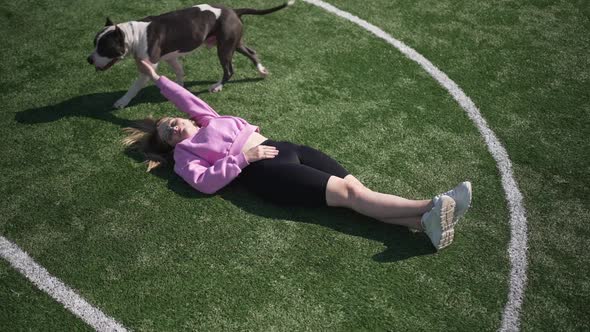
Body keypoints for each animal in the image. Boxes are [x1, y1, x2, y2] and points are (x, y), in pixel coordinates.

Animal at [89, 1, 296, 108]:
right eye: (94, 43)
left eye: (103, 48)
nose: (89, 59)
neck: (133, 34)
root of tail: (233, 10)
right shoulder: (171, 57)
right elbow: (180, 71)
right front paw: (178, 88)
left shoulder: (149, 66)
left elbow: (134, 87)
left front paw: (122, 101)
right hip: (233, 43)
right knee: (251, 52)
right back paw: (261, 71)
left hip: (224, 48)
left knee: (229, 69)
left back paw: (217, 86)